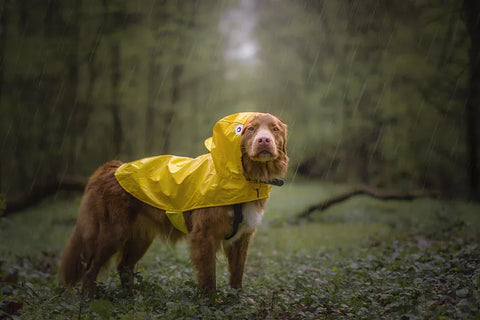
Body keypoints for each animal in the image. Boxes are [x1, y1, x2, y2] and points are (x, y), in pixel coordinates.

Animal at [58, 112, 286, 298]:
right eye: (250, 129)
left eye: (274, 129)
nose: (264, 140)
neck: (244, 176)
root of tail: (110, 167)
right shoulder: (204, 236)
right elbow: (209, 276)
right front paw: (211, 301)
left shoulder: (242, 237)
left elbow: (237, 274)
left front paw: (238, 298)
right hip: (113, 232)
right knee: (90, 269)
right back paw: (90, 298)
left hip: (140, 237)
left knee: (124, 267)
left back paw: (131, 296)